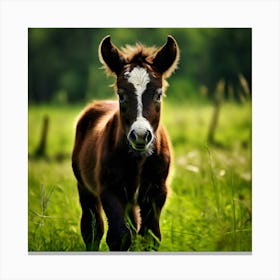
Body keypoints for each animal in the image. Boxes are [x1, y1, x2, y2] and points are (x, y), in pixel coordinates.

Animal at [71, 35, 178, 252]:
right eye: (121, 94)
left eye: (158, 94)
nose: (140, 135)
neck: (138, 160)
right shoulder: (109, 190)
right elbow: (119, 237)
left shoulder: (156, 192)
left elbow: (149, 237)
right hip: (85, 188)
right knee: (92, 230)